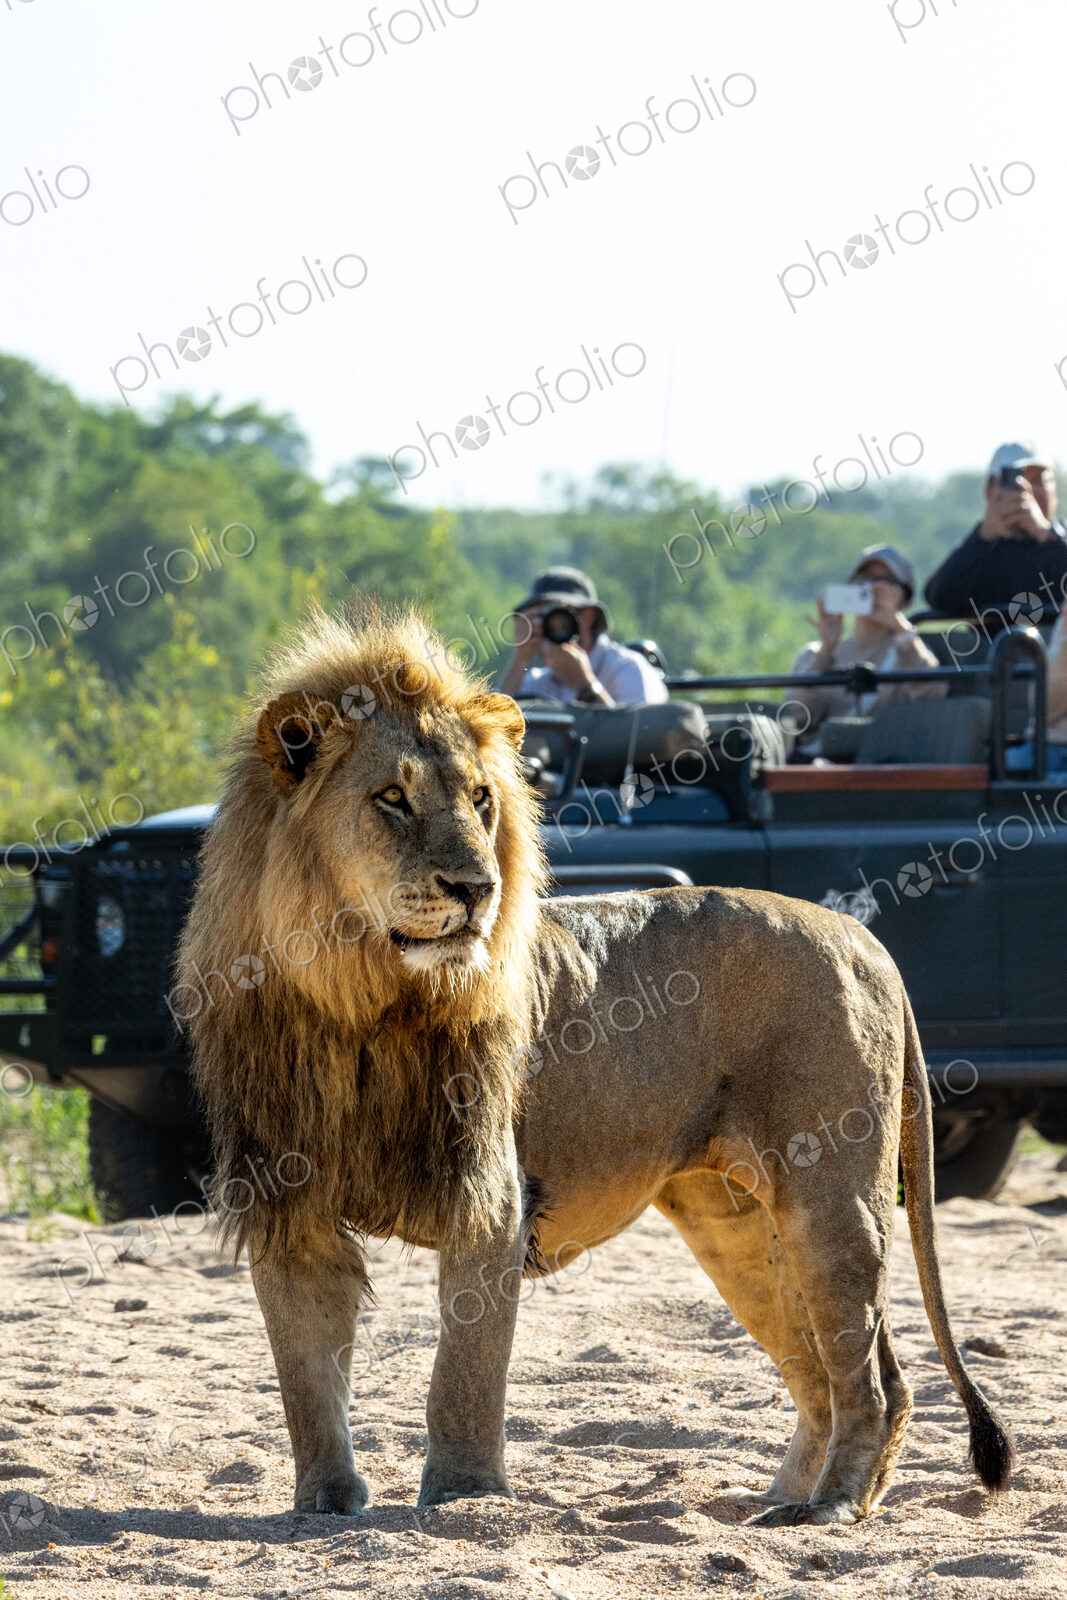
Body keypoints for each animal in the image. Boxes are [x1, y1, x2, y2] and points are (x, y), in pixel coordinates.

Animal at [178, 603, 1013, 1525]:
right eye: (390, 799)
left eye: (481, 799)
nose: (475, 889)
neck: (362, 1001)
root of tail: (862, 936)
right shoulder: (288, 1204)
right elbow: (304, 1377)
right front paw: (322, 1504)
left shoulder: (490, 1197)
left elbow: (462, 1371)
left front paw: (465, 1496)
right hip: (735, 1224)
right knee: (822, 1372)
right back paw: (772, 1502)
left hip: (829, 1197)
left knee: (872, 1377)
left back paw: (823, 1511)